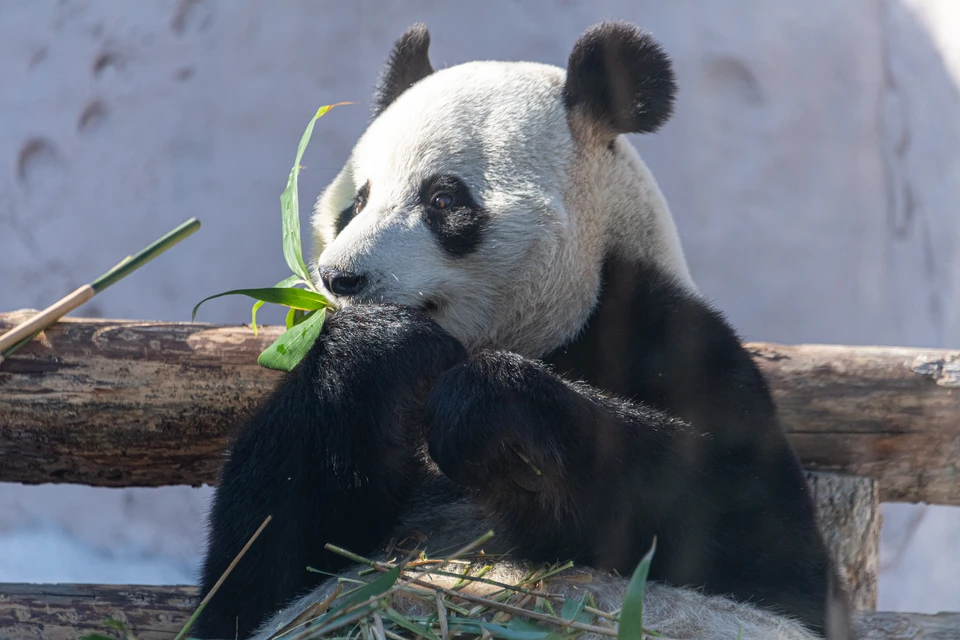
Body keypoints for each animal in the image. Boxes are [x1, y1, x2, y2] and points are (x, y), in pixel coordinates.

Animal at [191, 22, 852, 640]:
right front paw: (379, 346)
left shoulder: (680, 342)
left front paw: (489, 415)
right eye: (356, 203)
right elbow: (251, 573)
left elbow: (750, 532)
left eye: (442, 199)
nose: (339, 278)